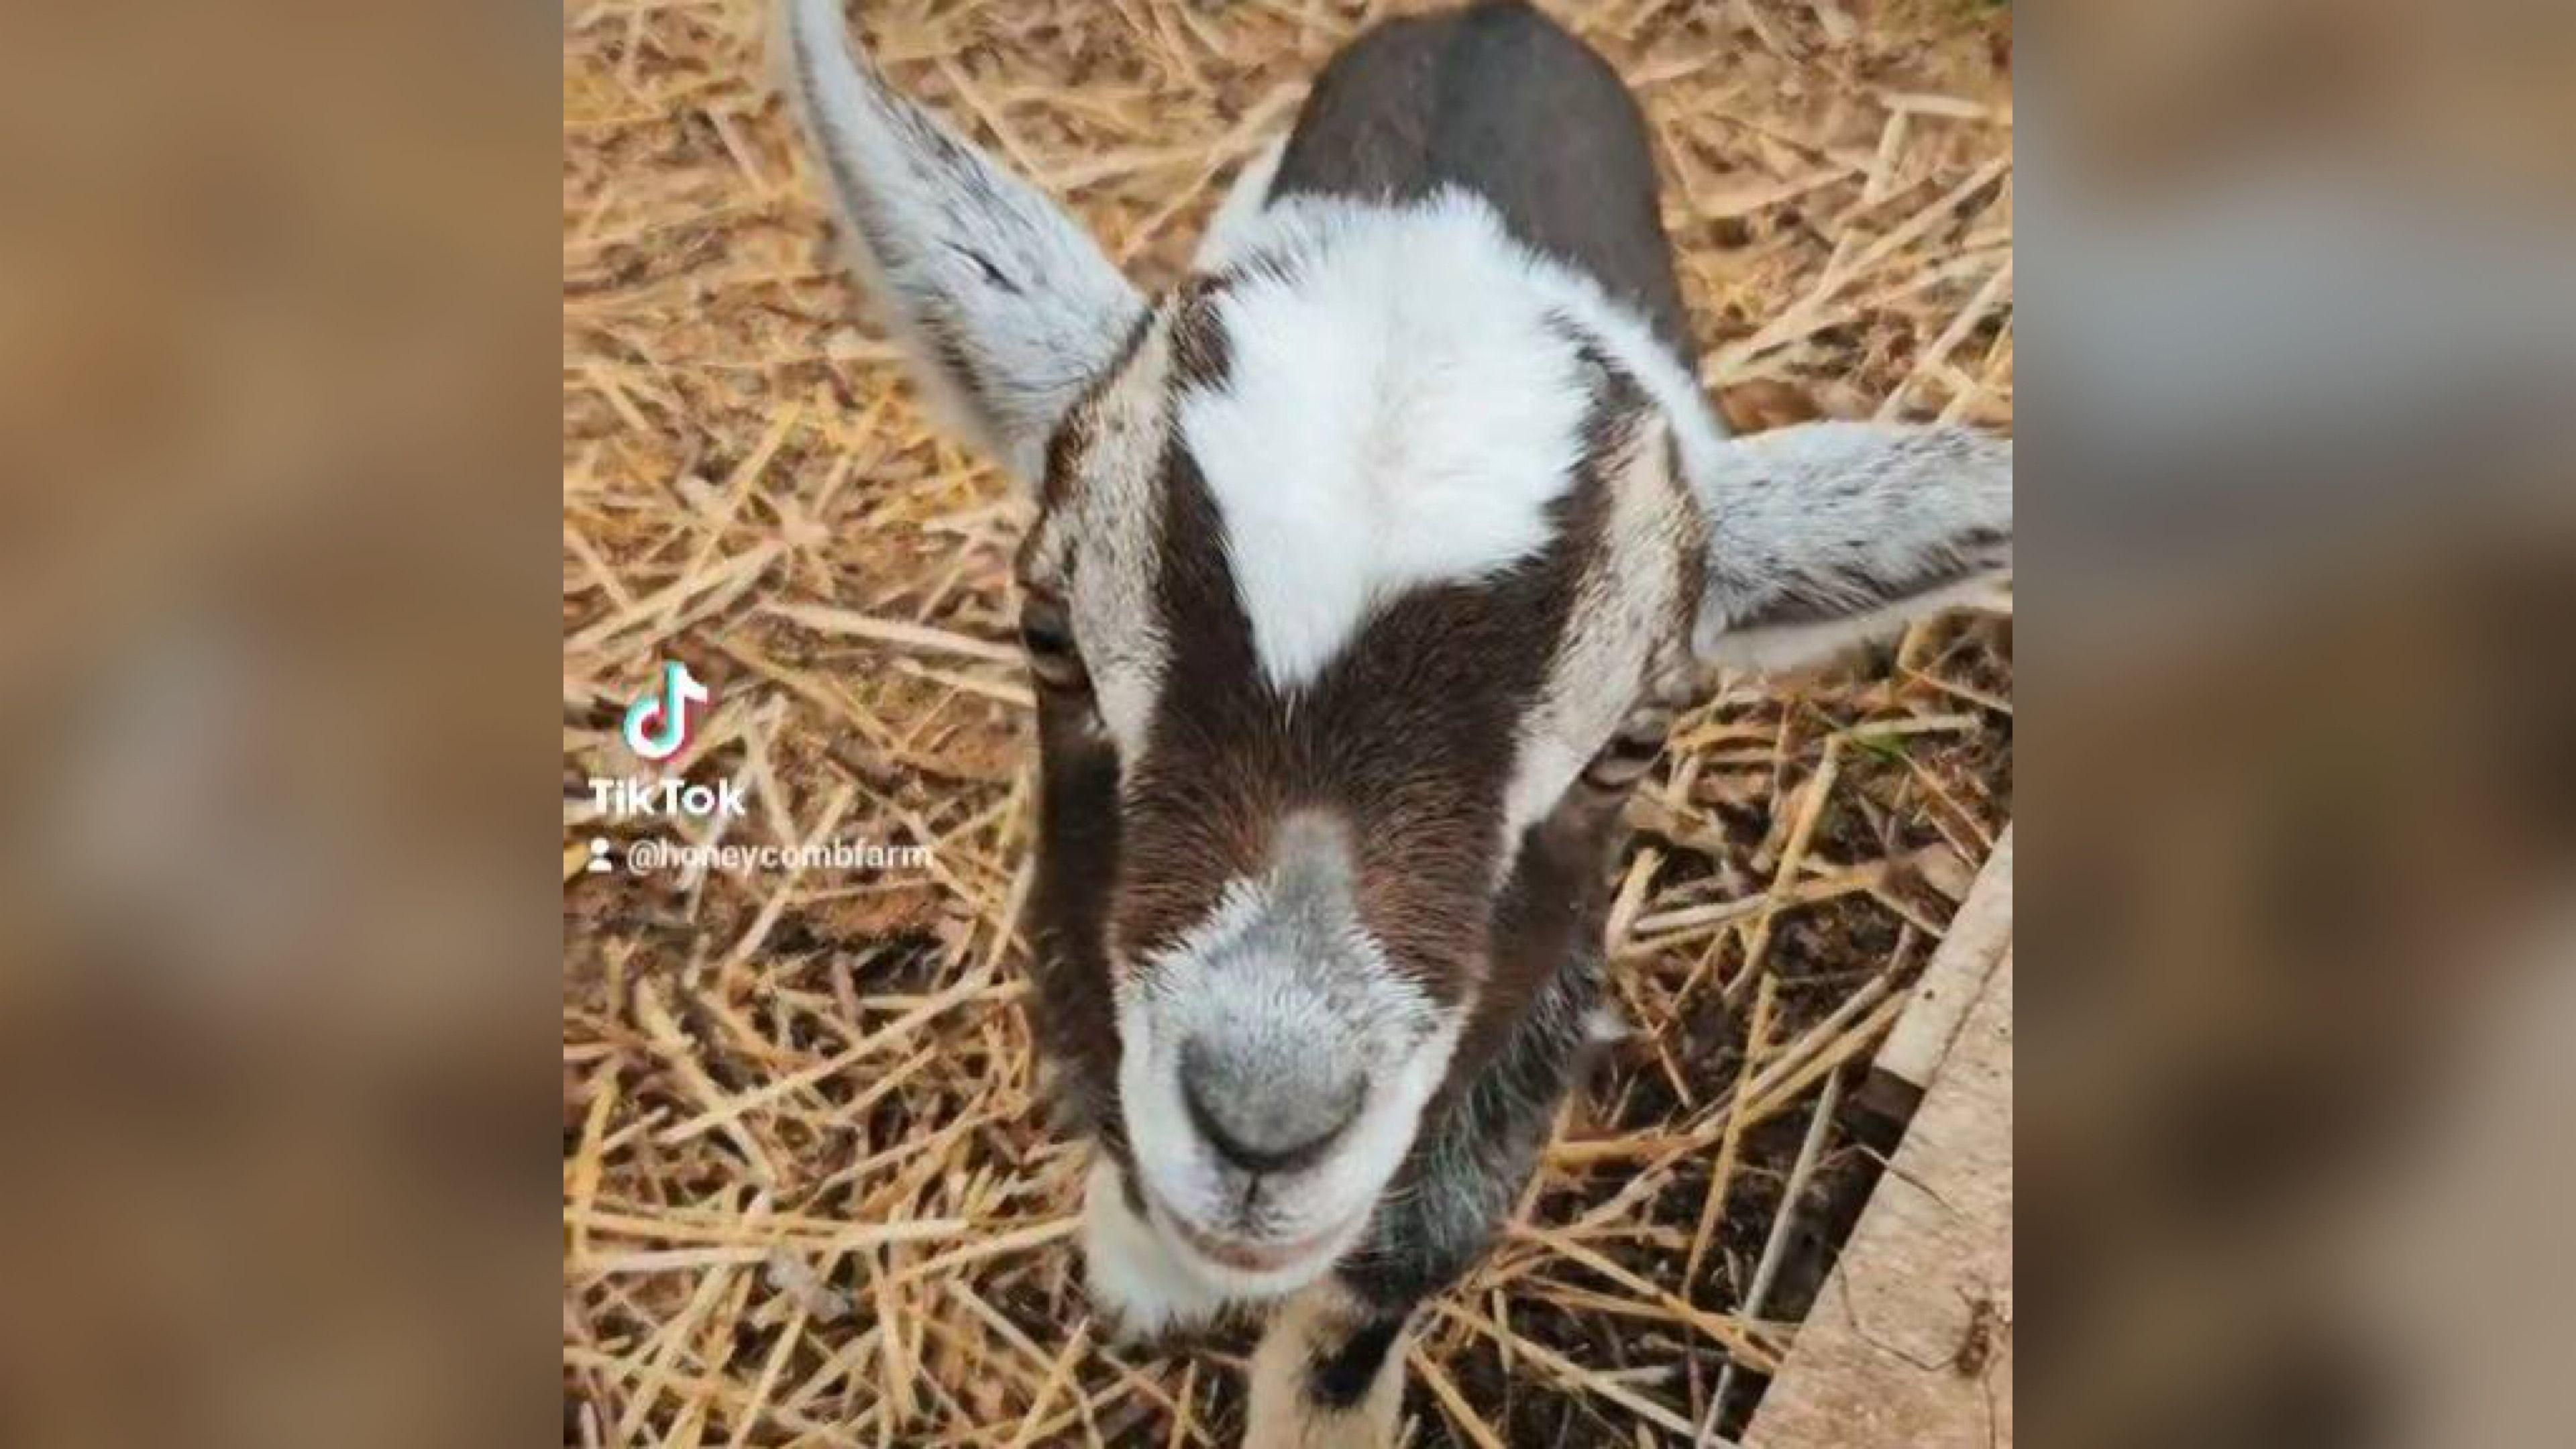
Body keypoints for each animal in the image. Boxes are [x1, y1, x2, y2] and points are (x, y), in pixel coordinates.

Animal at [783, 5, 2009, 1433]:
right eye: (1049, 638)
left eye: (1632, 744)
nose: (1264, 1126)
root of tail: (1500, 22)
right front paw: (1140, 1268)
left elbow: (1364, 1313)